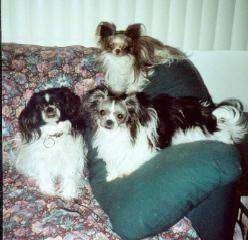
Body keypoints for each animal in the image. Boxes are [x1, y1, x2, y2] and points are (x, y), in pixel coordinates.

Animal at [85, 86, 248, 182]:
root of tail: (208, 112)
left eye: (120, 116)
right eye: (102, 112)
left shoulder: (144, 150)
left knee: (222, 132)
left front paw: (122, 171)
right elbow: (112, 162)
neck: (121, 131)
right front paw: (112, 174)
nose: (109, 122)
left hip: (200, 131)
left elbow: (129, 161)